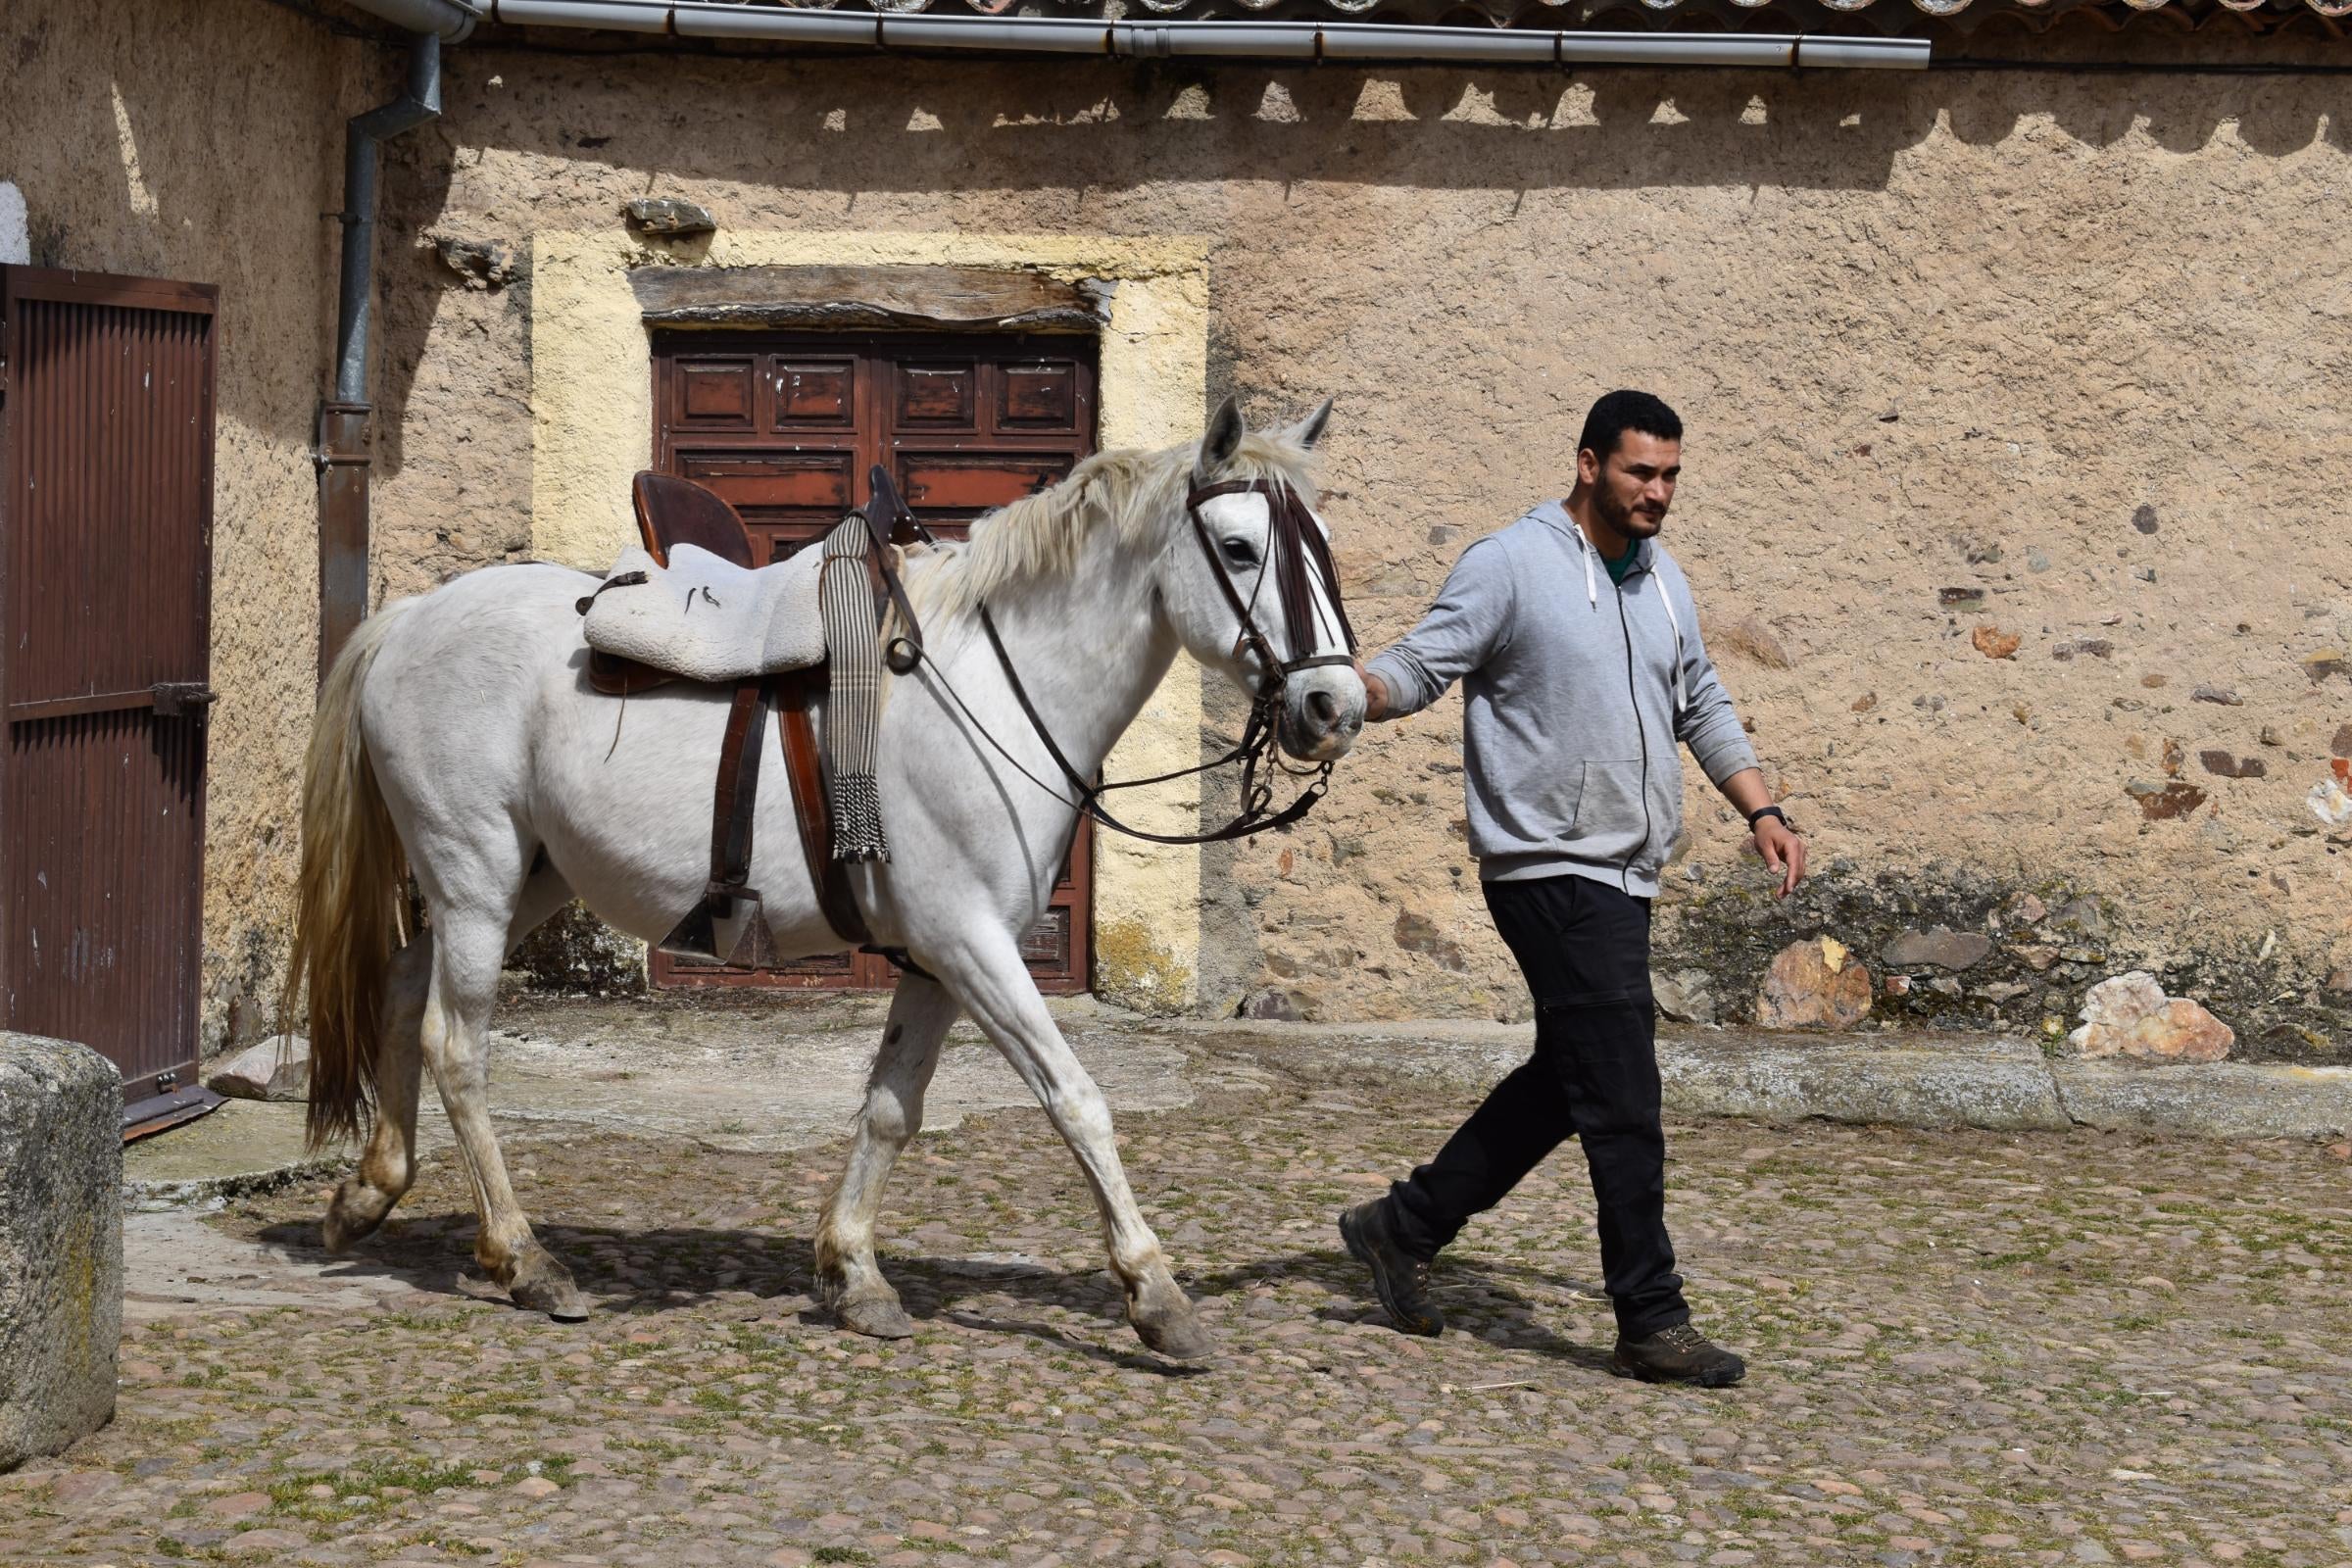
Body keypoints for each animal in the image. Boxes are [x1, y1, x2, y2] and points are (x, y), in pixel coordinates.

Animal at [289, 394, 1364, 1363]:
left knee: (401, 985)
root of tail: (411, 617)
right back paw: (524, 1259)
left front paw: (854, 1274)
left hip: (530, 876)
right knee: (457, 1044)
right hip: (476, 872)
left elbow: (893, 1107)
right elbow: (1076, 1097)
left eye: (1322, 547)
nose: (1334, 706)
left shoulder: (937, 961)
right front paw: (1156, 1294)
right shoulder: (971, 943)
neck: (993, 689)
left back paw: (370, 1191)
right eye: (1238, 548)